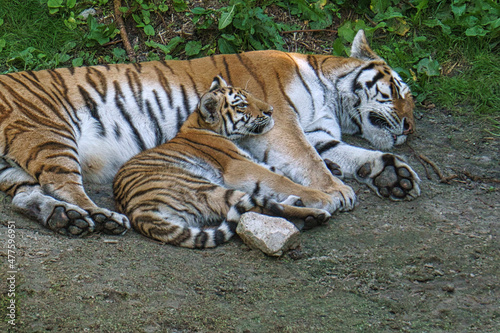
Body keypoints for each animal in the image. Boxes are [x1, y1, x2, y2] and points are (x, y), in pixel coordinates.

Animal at [0, 29, 418, 235]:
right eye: (398, 90)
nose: (409, 128)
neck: (332, 96)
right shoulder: (282, 122)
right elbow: (310, 161)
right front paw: (337, 193)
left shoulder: (315, 129)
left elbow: (345, 153)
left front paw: (394, 175)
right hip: (49, 134)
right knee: (62, 184)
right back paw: (100, 218)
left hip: (14, 166)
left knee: (26, 197)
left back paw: (65, 219)